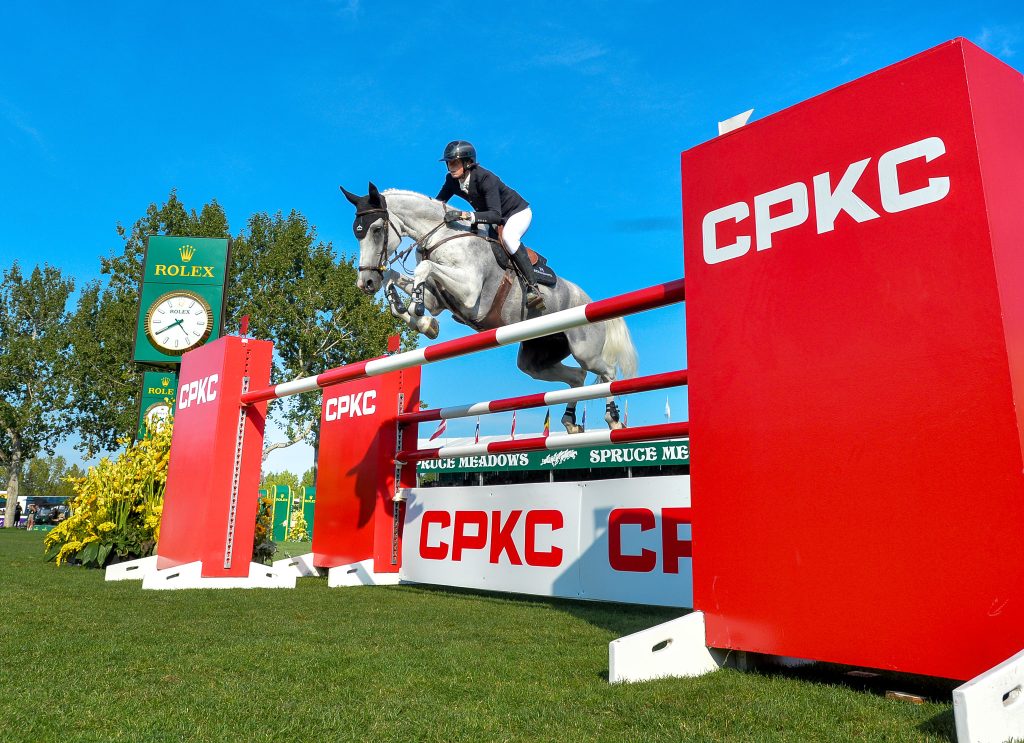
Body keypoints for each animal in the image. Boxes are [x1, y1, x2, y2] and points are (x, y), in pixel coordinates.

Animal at [339, 182, 634, 433]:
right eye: (357, 232)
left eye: (377, 230)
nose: (366, 282)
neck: (443, 236)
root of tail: (589, 300)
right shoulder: (440, 298)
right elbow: (399, 278)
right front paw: (420, 319)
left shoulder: (469, 293)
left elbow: (424, 269)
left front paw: (416, 309)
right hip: (537, 359)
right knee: (576, 378)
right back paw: (571, 422)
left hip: (585, 349)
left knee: (606, 372)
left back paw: (613, 419)